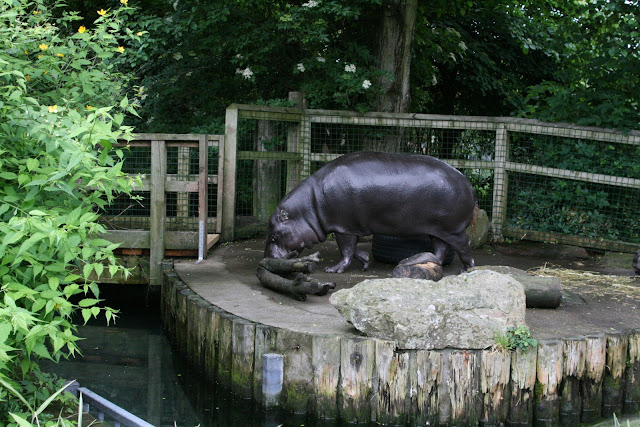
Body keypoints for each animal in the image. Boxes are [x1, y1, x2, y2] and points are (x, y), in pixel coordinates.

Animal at [264, 151, 478, 273]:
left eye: (273, 236)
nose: (266, 259)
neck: (309, 207)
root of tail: (468, 183)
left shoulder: (343, 228)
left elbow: (346, 250)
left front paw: (332, 270)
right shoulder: (351, 228)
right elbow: (354, 250)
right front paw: (366, 262)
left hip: (453, 229)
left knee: (464, 245)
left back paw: (466, 270)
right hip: (437, 229)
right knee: (440, 250)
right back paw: (424, 263)